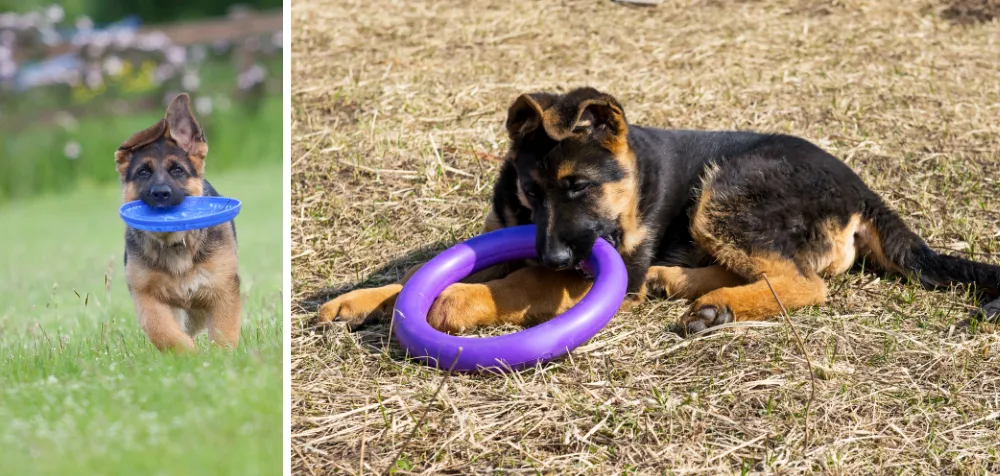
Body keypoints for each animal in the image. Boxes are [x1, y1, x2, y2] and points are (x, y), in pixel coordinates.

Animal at [114, 95, 241, 352]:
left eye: (177, 170)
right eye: (143, 172)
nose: (161, 193)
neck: (175, 245)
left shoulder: (222, 290)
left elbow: (224, 332)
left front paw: (222, 357)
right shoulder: (146, 296)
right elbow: (163, 331)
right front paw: (188, 354)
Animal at [314, 87, 1000, 336]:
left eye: (579, 186)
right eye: (532, 192)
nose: (557, 251)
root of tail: (861, 189)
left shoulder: (598, 268)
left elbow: (522, 281)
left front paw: (459, 300)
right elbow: (426, 270)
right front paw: (359, 300)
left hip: (727, 188)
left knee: (806, 283)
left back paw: (718, 306)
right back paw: (688, 287)